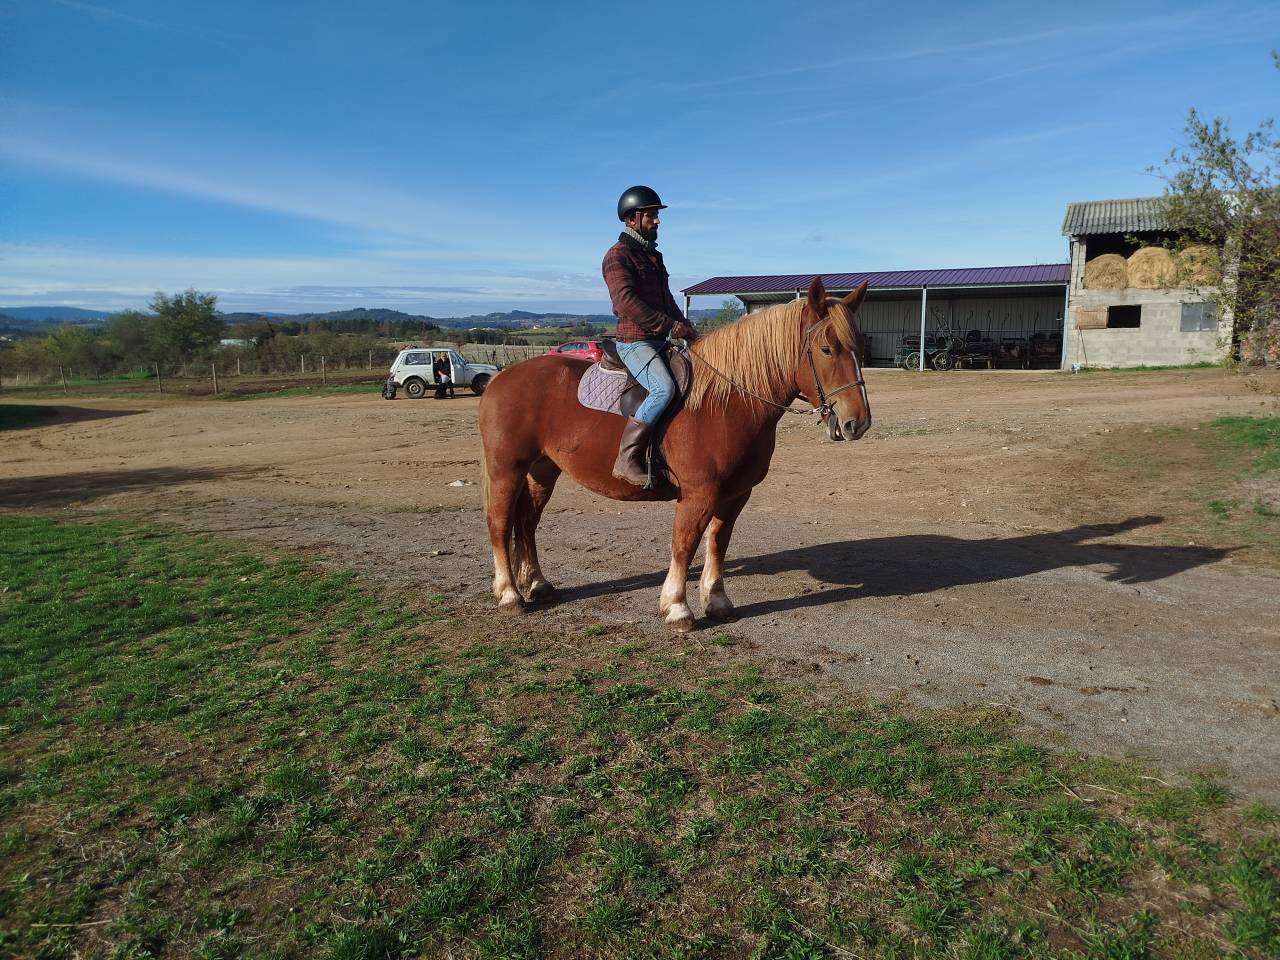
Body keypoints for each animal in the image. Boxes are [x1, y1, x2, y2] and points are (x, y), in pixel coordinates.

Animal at [478, 276, 871, 632]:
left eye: (860, 348)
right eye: (826, 349)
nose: (858, 422)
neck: (726, 402)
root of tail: (499, 379)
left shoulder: (736, 494)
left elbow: (718, 544)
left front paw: (717, 602)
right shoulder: (699, 494)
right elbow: (684, 544)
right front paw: (677, 608)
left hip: (542, 470)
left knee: (527, 523)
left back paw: (537, 584)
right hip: (506, 470)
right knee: (500, 523)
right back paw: (510, 594)